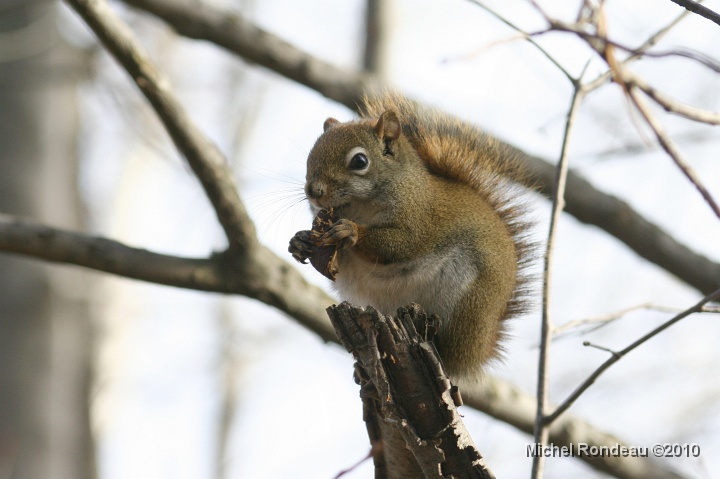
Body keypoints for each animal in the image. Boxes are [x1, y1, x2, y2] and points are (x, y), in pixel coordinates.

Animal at [289, 93, 535, 380]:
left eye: (359, 161)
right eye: (311, 154)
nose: (313, 191)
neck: (359, 208)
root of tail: (479, 351)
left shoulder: (419, 219)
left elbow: (401, 245)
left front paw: (350, 231)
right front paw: (299, 241)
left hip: (468, 303)